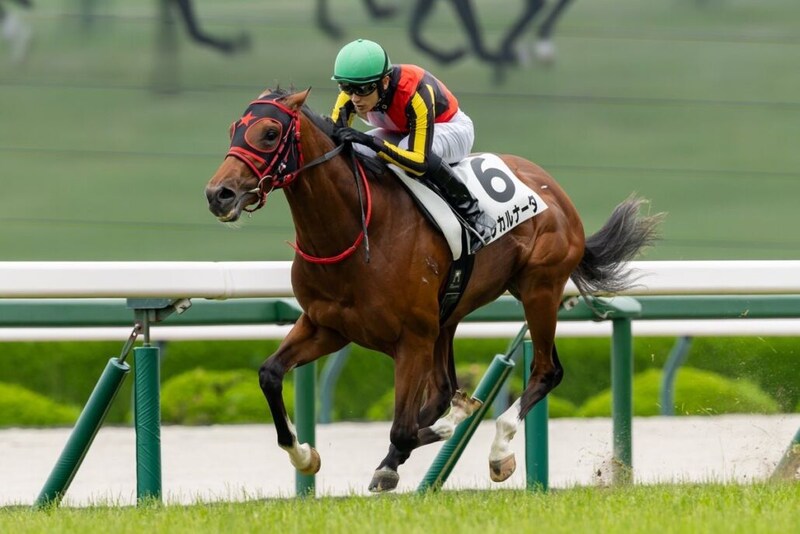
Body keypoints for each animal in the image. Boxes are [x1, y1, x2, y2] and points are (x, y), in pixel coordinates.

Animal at [204, 87, 661, 492]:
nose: (218, 194)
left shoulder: (411, 338)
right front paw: (305, 455)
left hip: (540, 288)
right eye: (232, 129)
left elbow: (404, 428)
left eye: (269, 133)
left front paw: (453, 423)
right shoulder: (327, 326)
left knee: (546, 371)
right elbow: (269, 375)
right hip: (450, 313)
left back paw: (497, 450)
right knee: (443, 388)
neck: (356, 231)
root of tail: (553, 188)